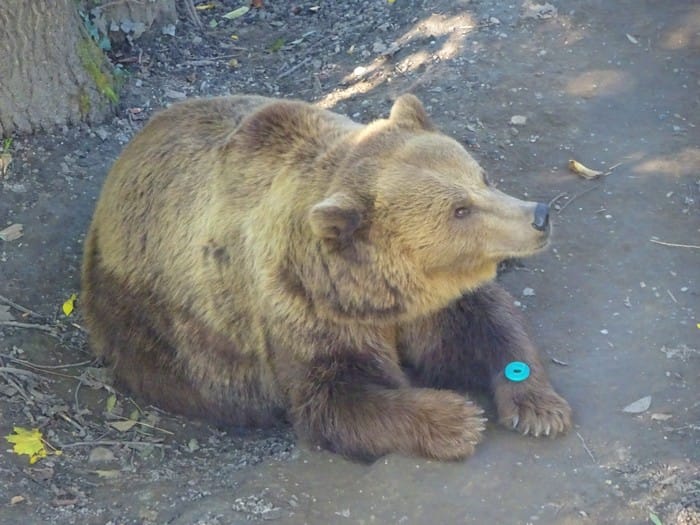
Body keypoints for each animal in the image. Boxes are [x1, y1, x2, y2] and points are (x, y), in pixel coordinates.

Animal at [81, 94, 572, 461]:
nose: (539, 216)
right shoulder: (303, 308)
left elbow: (488, 323)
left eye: (481, 177)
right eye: (460, 210)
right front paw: (458, 418)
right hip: (148, 322)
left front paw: (539, 408)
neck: (376, 292)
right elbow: (333, 396)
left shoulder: (435, 301)